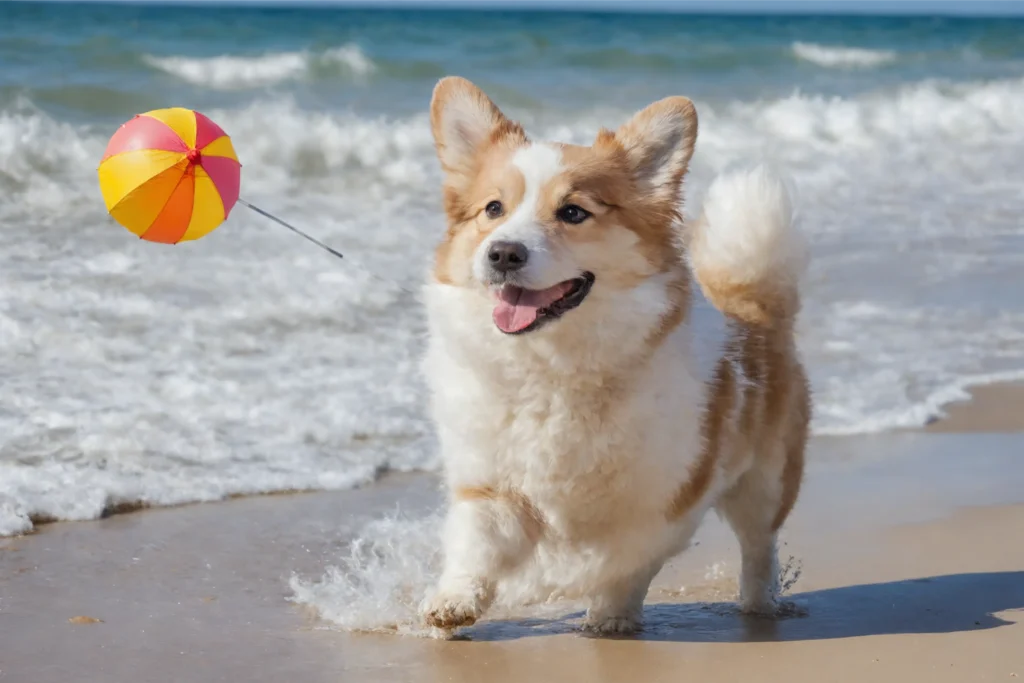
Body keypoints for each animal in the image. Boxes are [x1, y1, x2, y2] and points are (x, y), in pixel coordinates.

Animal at [415, 77, 806, 638]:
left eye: (573, 212)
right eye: (493, 209)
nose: (503, 253)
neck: (553, 369)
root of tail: (753, 307)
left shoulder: (665, 500)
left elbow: (622, 561)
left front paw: (602, 608)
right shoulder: (491, 483)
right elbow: (476, 545)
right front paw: (454, 602)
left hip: (767, 482)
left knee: (759, 545)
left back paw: (757, 605)